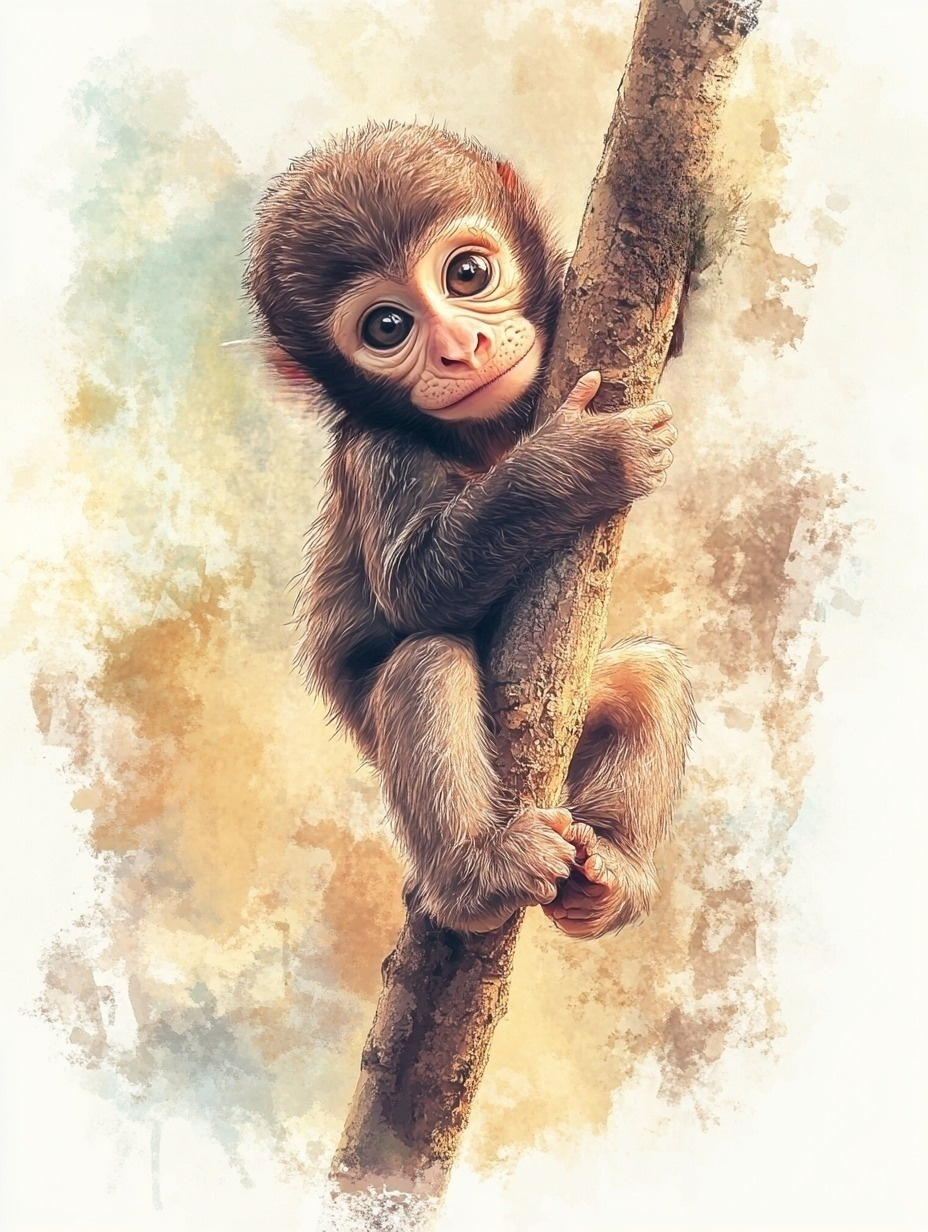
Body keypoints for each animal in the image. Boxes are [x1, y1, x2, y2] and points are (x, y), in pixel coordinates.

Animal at [245, 121, 696, 938]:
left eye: (467, 275)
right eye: (387, 326)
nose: (463, 348)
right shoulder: (378, 451)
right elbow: (415, 589)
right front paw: (583, 456)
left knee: (650, 677)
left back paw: (612, 871)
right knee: (425, 663)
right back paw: (478, 876)